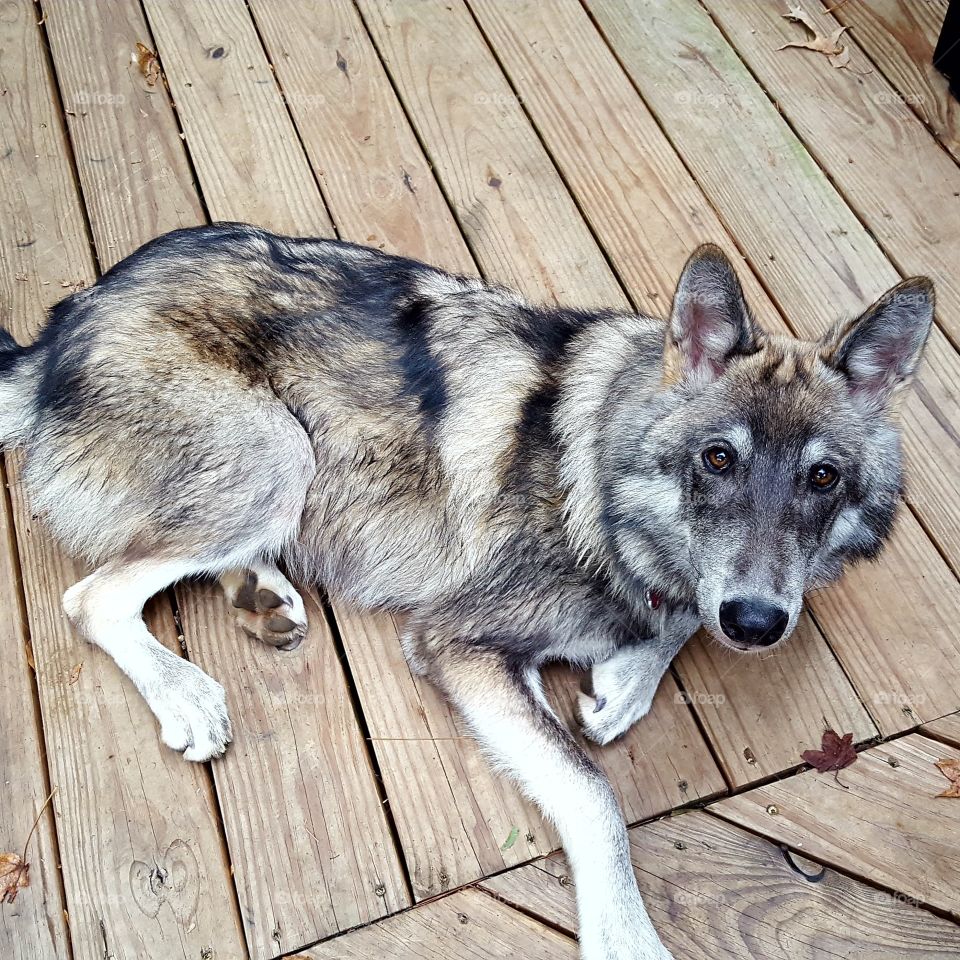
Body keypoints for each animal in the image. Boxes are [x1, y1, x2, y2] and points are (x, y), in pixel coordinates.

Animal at [0, 224, 932, 959]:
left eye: (822, 478)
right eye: (718, 459)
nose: (757, 623)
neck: (606, 482)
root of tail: (61, 325)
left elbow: (675, 624)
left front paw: (631, 675)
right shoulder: (457, 640)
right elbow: (596, 796)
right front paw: (628, 937)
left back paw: (260, 590)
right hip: (278, 452)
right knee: (94, 597)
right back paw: (186, 692)